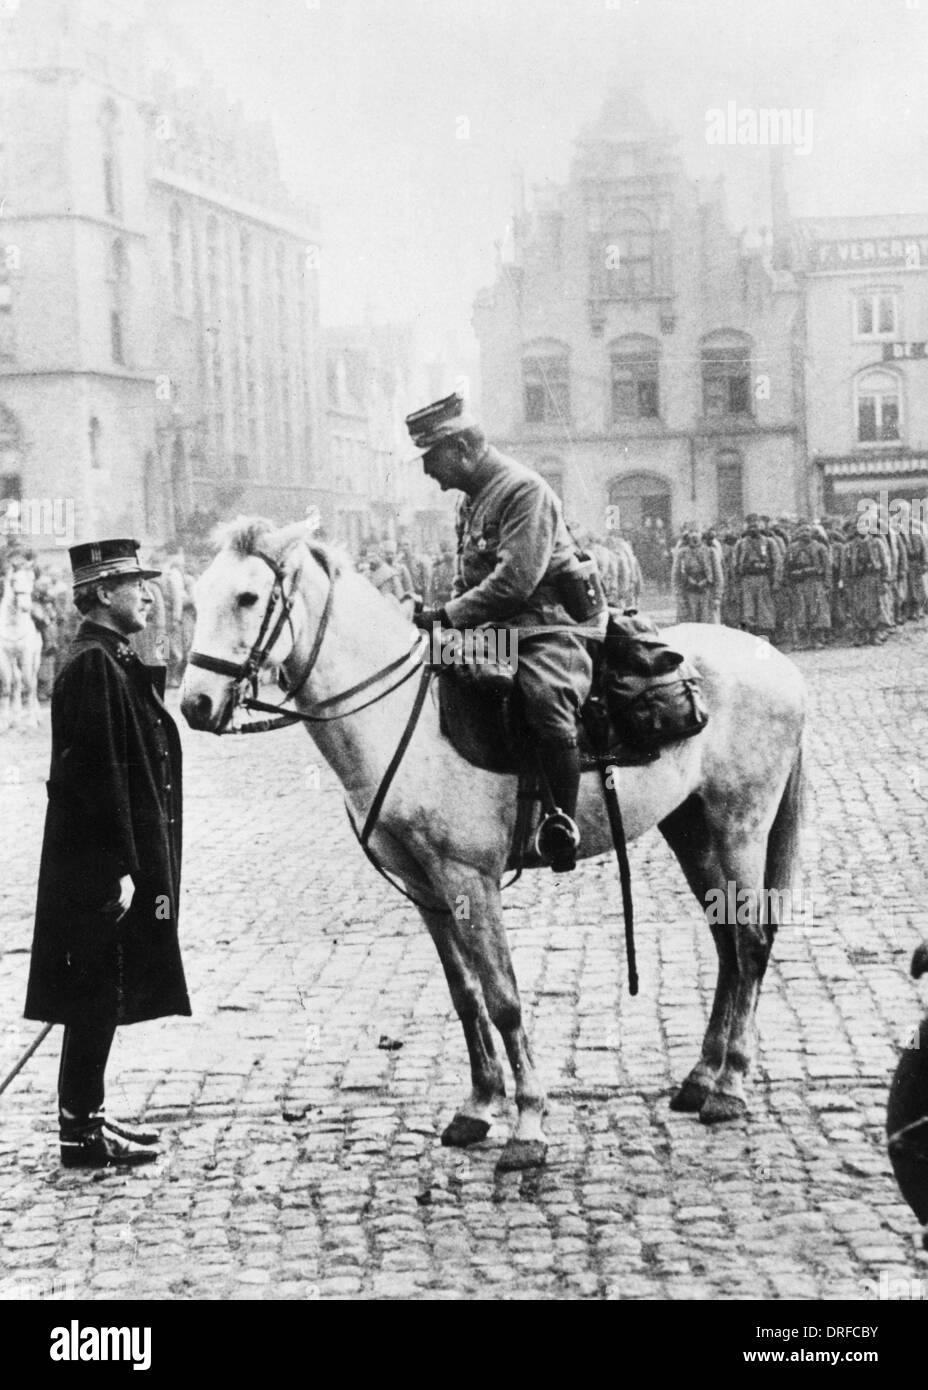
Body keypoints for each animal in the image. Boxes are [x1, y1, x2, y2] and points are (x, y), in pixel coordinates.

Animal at [179, 522, 805, 1173]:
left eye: (249, 597)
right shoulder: (426, 889)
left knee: (751, 942)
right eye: (196, 597)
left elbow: (504, 998)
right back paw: (702, 1076)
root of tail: (776, 662)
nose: (194, 705)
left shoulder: (470, 879)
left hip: (739, 826)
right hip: (690, 828)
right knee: (727, 943)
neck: (402, 718)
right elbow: (466, 995)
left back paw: (730, 1085)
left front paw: (527, 1124)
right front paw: (478, 1106)